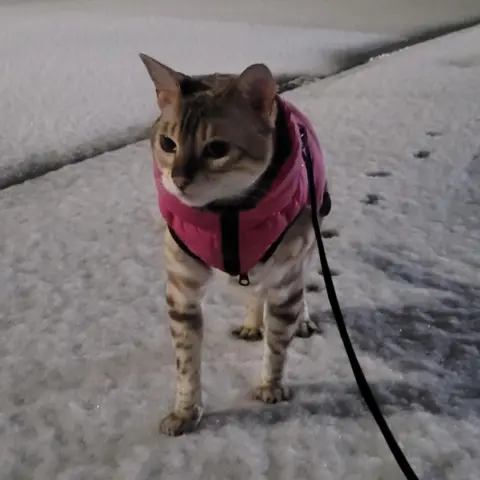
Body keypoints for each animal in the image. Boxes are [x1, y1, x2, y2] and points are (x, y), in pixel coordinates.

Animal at [137, 54, 328, 436]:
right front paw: (185, 411)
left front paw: (271, 386)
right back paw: (252, 323)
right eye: (168, 143)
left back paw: (302, 320)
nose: (178, 179)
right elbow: (186, 362)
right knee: (253, 293)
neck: (227, 214)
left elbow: (277, 346)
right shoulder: (181, 289)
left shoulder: (286, 280)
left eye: (217, 149)